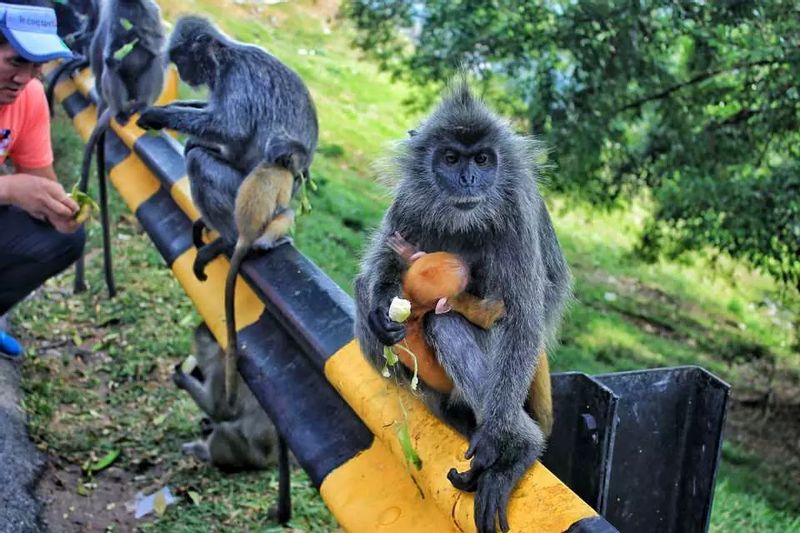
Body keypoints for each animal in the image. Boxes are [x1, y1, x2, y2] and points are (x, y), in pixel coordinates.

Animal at [74, 0, 166, 296]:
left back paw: (142, 106)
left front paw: (138, 37)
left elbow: (155, 42)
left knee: (153, 60)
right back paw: (122, 112)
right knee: (111, 68)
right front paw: (122, 42)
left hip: (139, 89)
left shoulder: (148, 11)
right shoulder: (113, 12)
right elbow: (109, 51)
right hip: (114, 92)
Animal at [136, 15, 318, 282]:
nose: (182, 74)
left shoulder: (237, 77)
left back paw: (230, 241)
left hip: (243, 195)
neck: (225, 57)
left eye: (182, 60)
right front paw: (169, 108)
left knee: (198, 160)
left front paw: (158, 116)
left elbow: (232, 129)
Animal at [354, 79, 572, 532]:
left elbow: (523, 319)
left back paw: (517, 446)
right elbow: (379, 266)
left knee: (448, 325)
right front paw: (383, 311)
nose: (469, 178)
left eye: (483, 160)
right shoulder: (408, 201)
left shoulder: (516, 212)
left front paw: (500, 444)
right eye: (451, 159)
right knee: (362, 286)